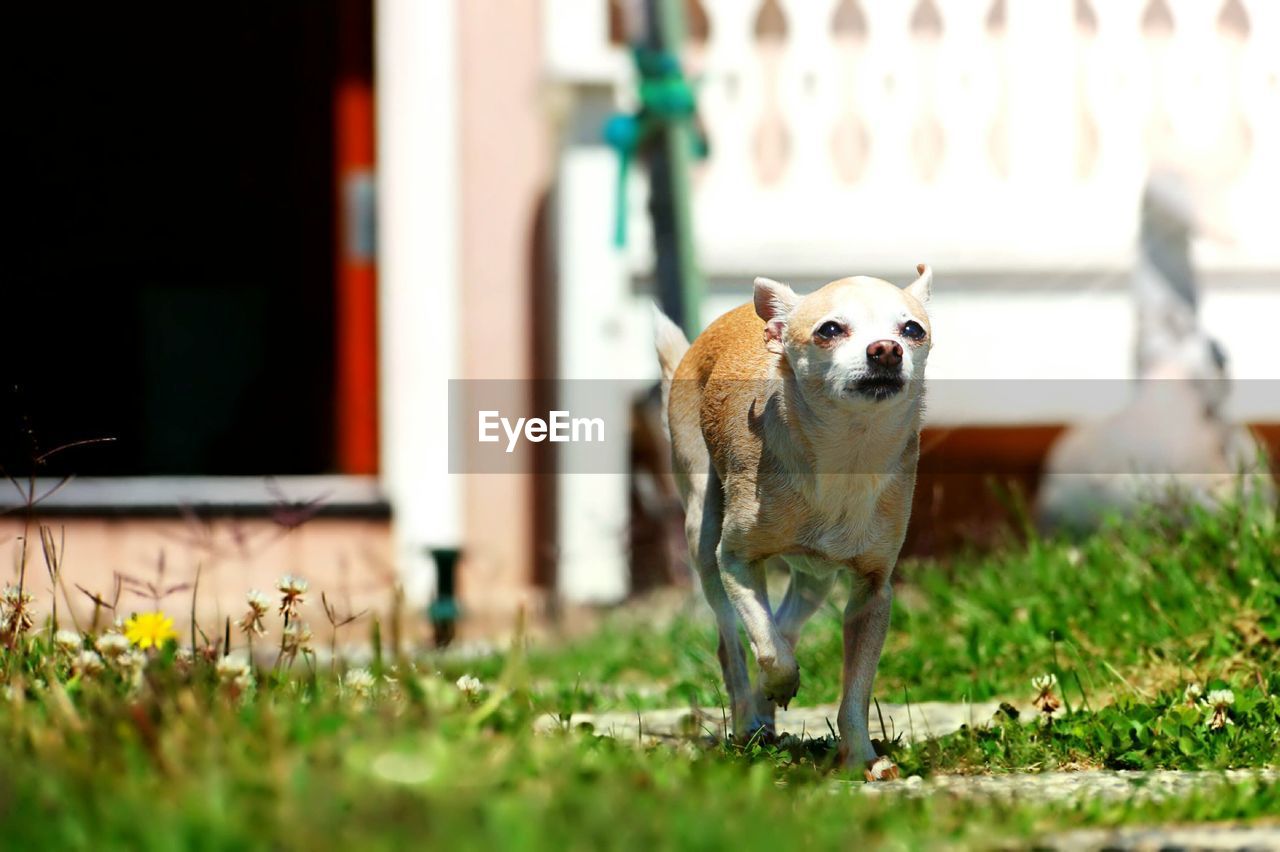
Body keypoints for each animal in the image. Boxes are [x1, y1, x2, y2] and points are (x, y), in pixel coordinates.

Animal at [655, 263, 936, 777]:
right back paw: (749, 720)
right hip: (703, 536)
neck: (846, 455)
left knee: (785, 623)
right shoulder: (736, 562)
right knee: (736, 642)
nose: (887, 349)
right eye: (830, 330)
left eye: (912, 330)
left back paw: (766, 716)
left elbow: (855, 691)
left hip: (815, 579)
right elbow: (768, 648)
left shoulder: (872, 592)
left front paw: (861, 758)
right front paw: (780, 685)